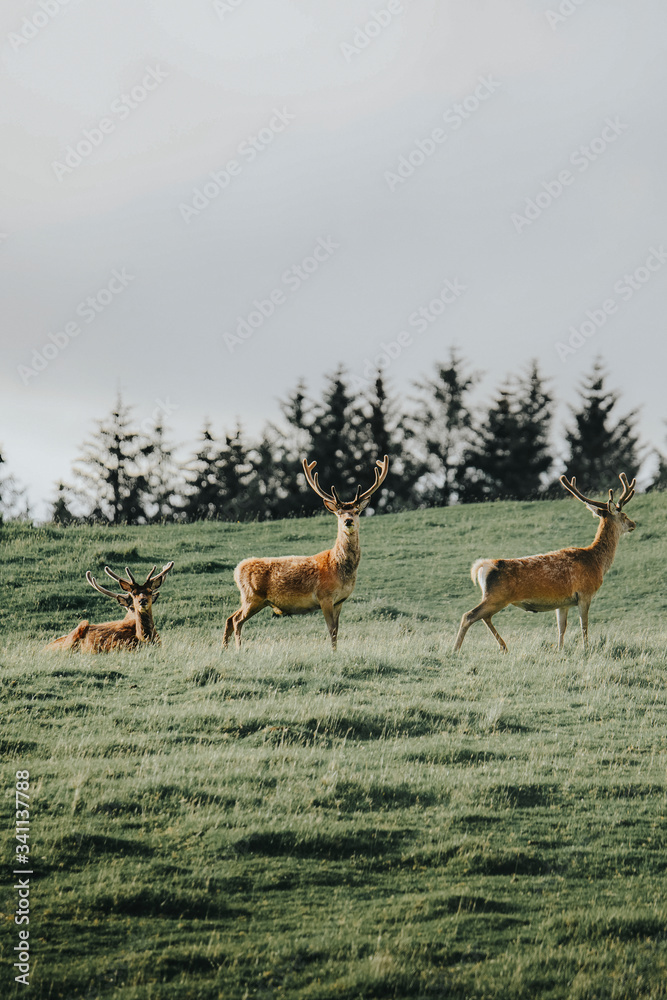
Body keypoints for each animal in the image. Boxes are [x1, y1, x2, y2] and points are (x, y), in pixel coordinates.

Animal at [224, 458, 392, 652]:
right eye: (339, 513)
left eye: (357, 511)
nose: (348, 521)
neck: (339, 569)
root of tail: (237, 570)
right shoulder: (324, 596)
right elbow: (331, 630)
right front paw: (333, 653)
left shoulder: (340, 601)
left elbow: (337, 629)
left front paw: (336, 651)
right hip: (252, 597)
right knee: (237, 620)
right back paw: (238, 649)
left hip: (251, 600)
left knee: (229, 619)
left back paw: (224, 649)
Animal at [454, 470, 636, 652]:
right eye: (624, 515)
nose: (633, 523)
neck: (597, 562)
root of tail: (483, 566)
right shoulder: (585, 593)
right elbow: (584, 625)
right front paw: (586, 648)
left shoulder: (563, 602)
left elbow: (561, 627)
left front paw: (560, 649)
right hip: (497, 596)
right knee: (468, 615)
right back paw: (456, 649)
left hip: (493, 597)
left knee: (484, 617)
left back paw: (503, 646)